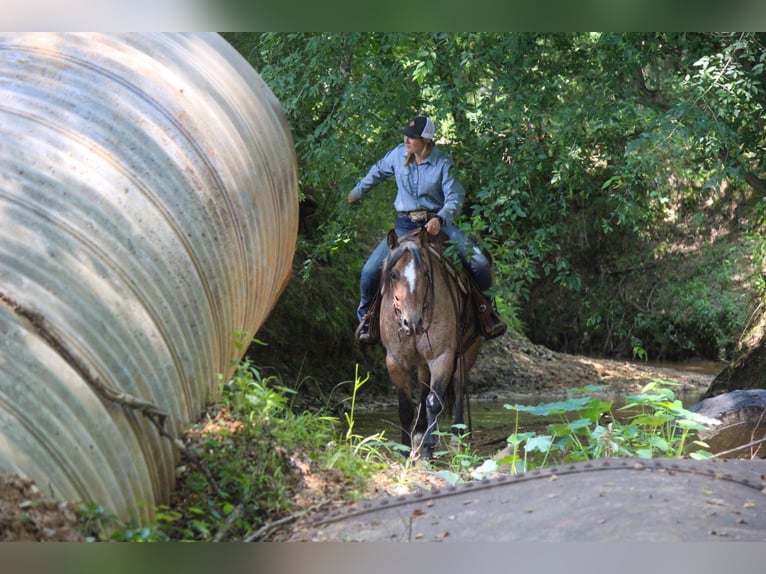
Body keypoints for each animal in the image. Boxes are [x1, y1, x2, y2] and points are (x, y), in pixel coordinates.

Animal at [380, 228, 484, 460]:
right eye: (393, 275)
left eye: (426, 274)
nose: (412, 322)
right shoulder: (395, 361)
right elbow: (406, 407)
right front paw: (405, 450)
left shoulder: (442, 357)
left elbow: (434, 402)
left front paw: (427, 450)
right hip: (421, 362)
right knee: (423, 386)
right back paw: (419, 433)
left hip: (468, 351)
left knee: (458, 385)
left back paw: (456, 436)